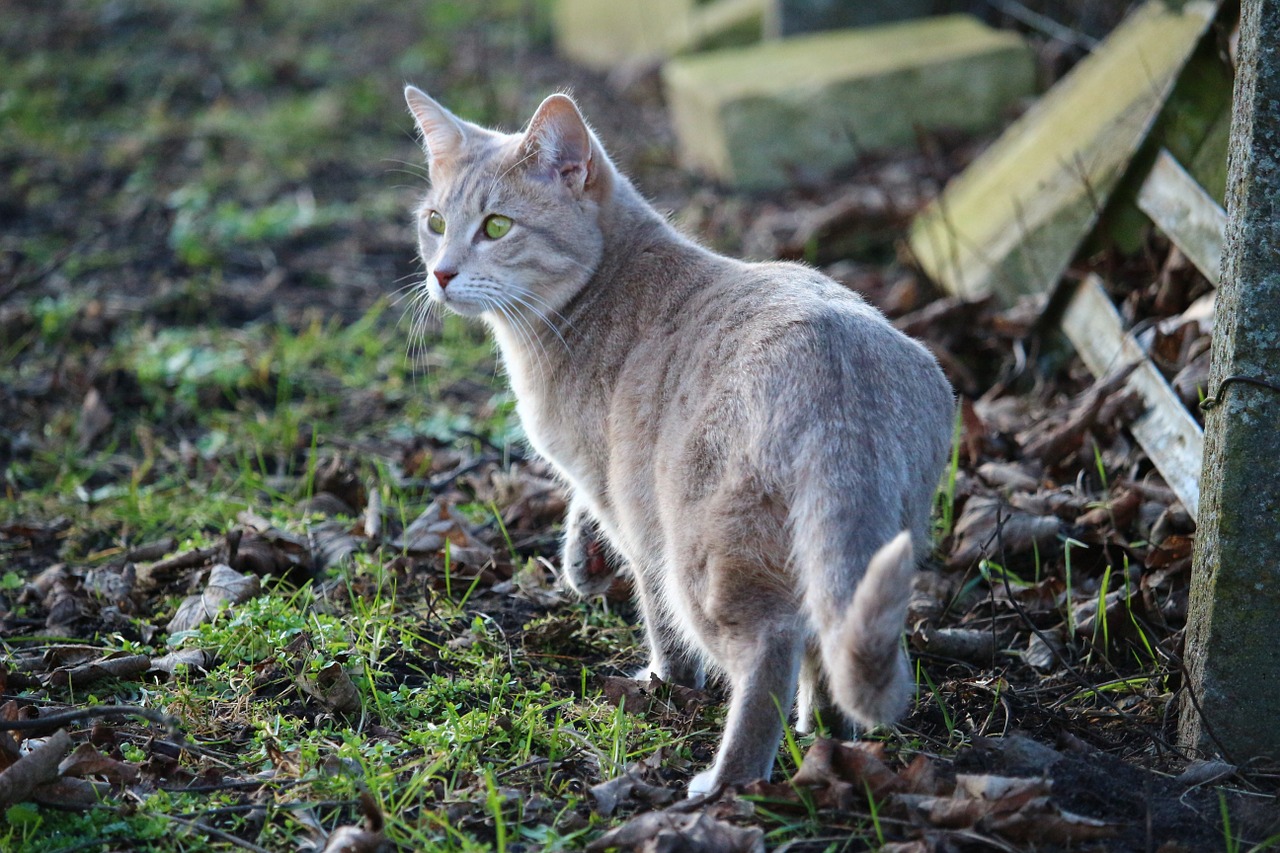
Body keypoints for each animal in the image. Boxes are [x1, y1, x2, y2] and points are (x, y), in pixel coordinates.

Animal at [404, 84, 957, 788]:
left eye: (496, 227)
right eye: (435, 222)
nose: (442, 274)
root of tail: (842, 373)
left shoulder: (626, 500)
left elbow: (651, 601)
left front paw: (665, 679)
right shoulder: (601, 480)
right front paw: (579, 558)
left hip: (706, 549)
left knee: (768, 650)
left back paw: (730, 780)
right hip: (863, 536)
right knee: (827, 635)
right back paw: (829, 741)